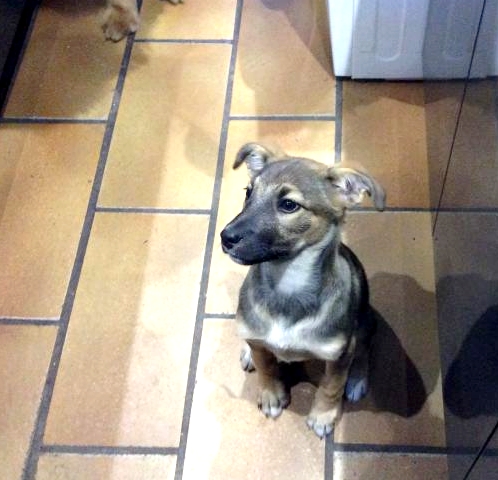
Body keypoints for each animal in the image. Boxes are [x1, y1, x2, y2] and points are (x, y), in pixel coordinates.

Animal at [220, 143, 385, 438]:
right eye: (248, 192)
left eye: (288, 205)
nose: (226, 238)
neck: (288, 284)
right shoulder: (261, 342)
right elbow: (266, 368)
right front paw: (271, 395)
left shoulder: (339, 354)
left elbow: (331, 386)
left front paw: (323, 416)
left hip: (367, 321)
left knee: (364, 349)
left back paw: (357, 379)